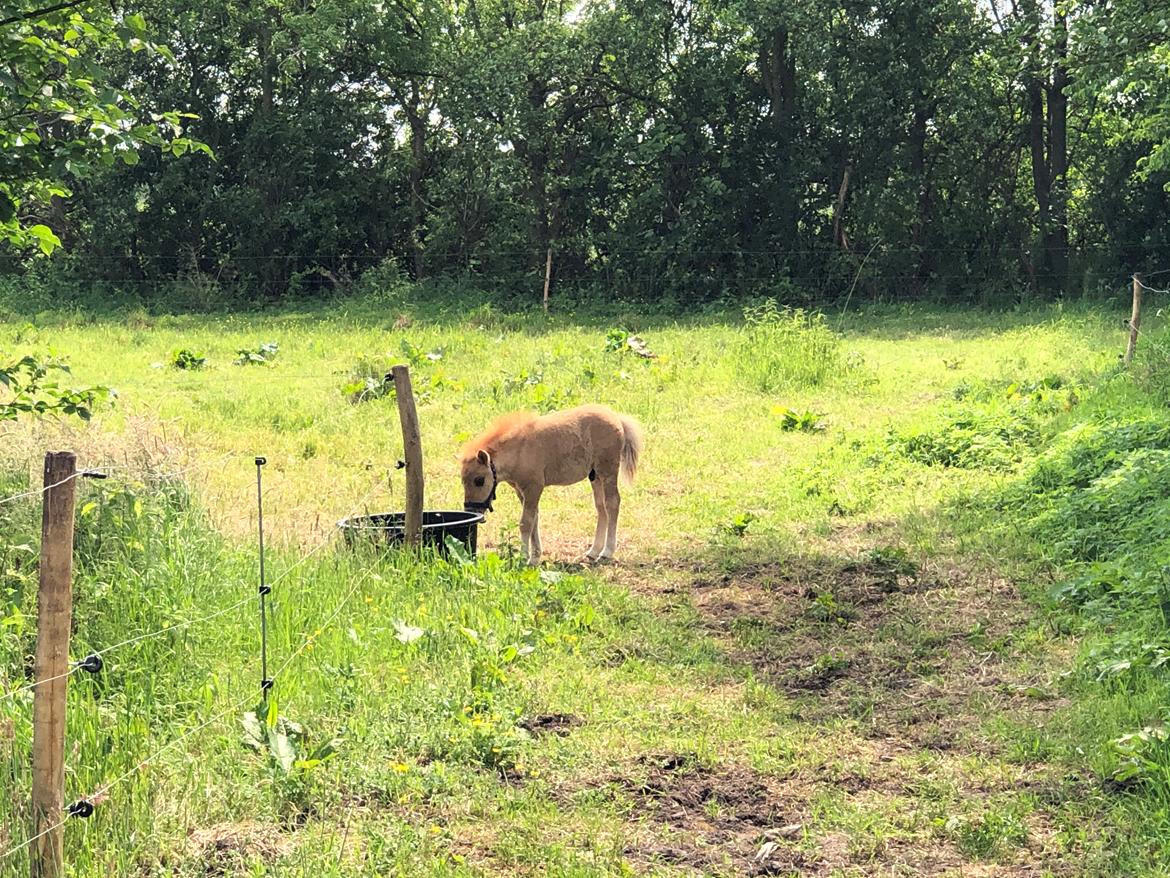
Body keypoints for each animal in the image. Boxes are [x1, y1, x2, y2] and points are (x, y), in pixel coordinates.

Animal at [460, 405, 645, 564]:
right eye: (462, 481)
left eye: (479, 480)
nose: (471, 510)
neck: (519, 450)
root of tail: (617, 418)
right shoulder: (522, 491)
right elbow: (534, 519)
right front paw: (535, 557)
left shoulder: (534, 487)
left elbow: (526, 523)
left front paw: (524, 558)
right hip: (595, 476)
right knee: (601, 507)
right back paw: (594, 551)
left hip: (607, 472)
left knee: (612, 503)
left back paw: (607, 552)